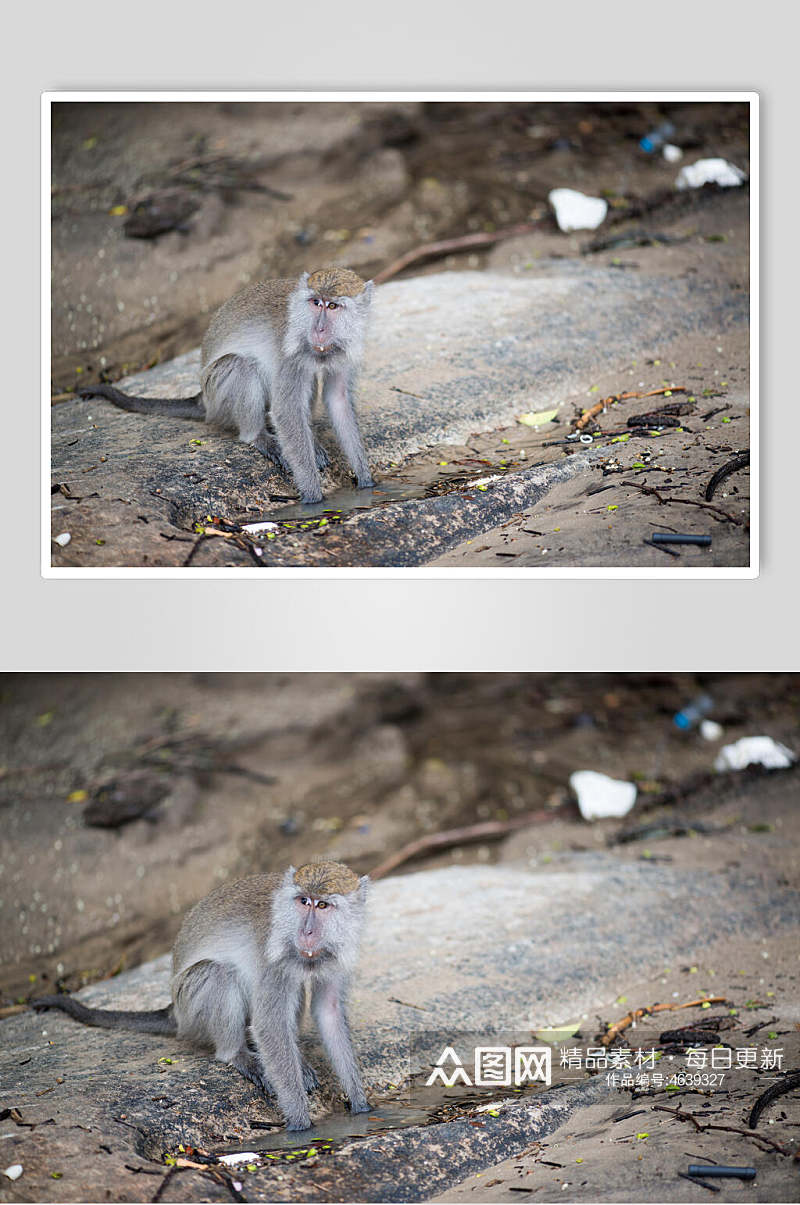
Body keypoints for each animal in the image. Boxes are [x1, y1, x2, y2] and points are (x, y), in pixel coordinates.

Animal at [30, 867, 368, 1127]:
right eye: (303, 901)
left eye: (322, 906)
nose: (306, 933)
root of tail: (174, 1012)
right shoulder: (275, 957)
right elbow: (270, 1026)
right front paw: (300, 1123)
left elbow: (329, 1011)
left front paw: (361, 1104)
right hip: (190, 1009)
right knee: (219, 974)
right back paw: (237, 1054)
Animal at [78, 268, 375, 503]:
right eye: (316, 303)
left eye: (332, 306)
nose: (319, 330)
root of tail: (202, 398)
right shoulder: (292, 353)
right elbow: (286, 411)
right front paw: (313, 498)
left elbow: (338, 399)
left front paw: (366, 481)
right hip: (217, 396)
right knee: (242, 366)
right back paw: (258, 436)